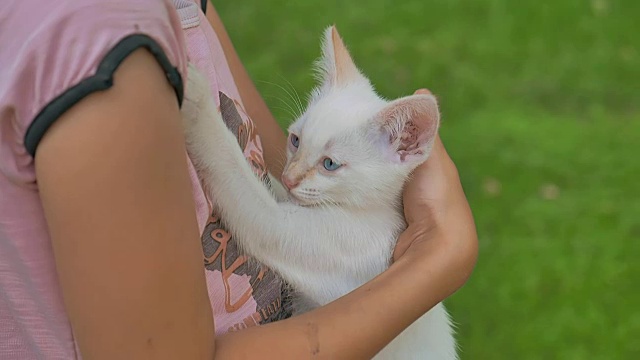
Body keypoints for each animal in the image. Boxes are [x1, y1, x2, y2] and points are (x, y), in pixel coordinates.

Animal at [182, 26, 458, 360]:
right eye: (295, 140)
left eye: (329, 164)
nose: (289, 179)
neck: (364, 209)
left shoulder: (320, 239)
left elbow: (236, 175)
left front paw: (195, 96)